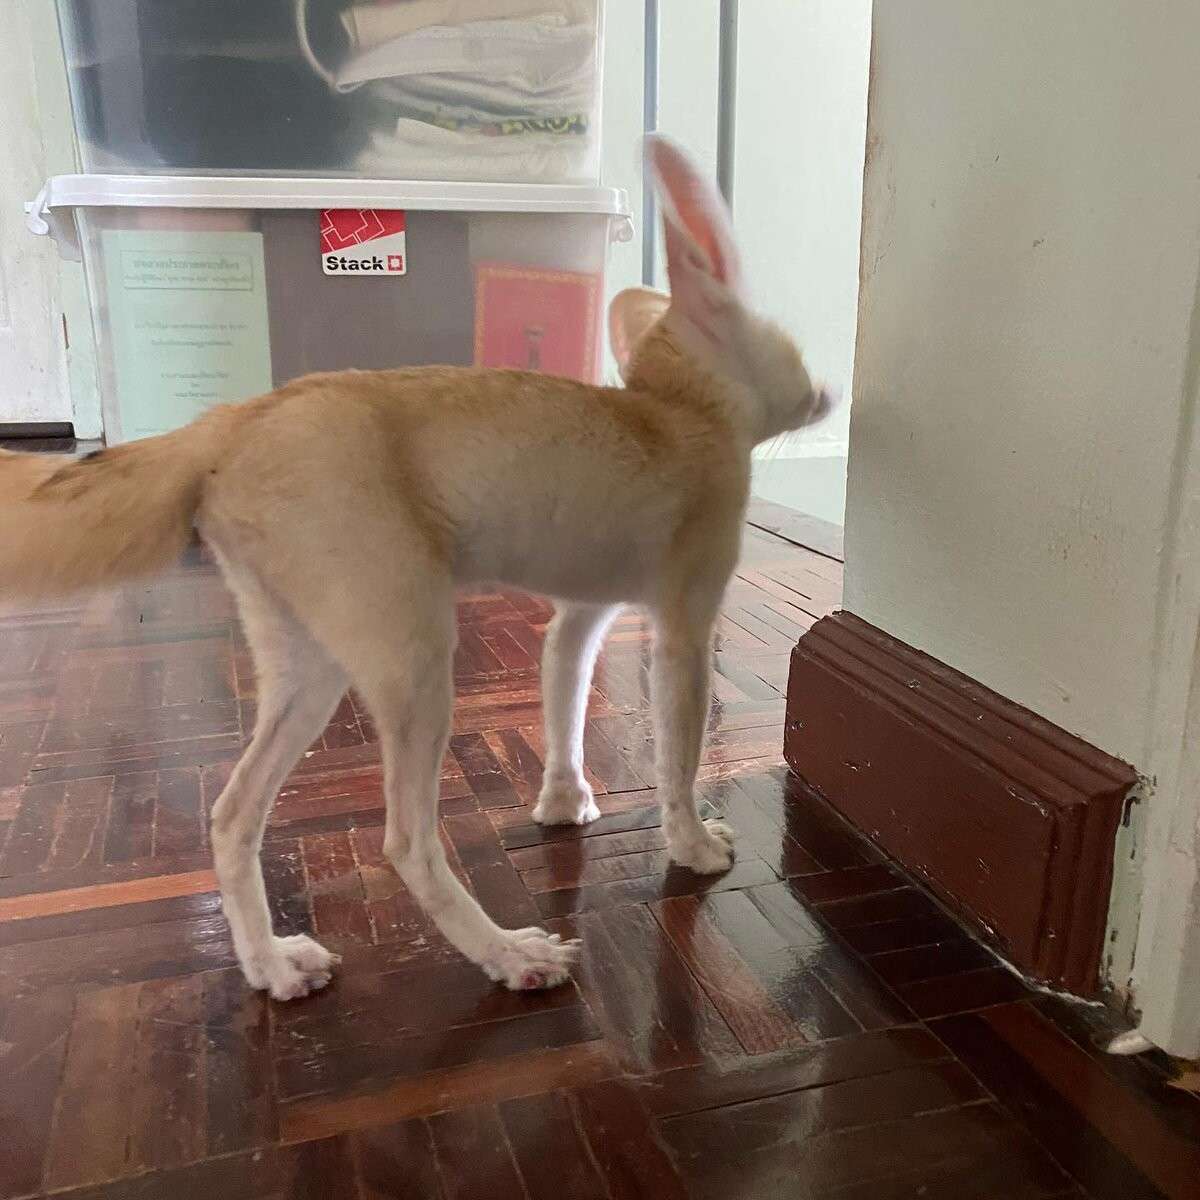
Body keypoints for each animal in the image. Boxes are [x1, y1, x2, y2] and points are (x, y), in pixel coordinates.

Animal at [0, 137, 833, 999]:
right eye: (795, 350)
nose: (827, 390)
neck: (677, 406)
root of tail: (234, 418)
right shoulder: (684, 631)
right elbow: (679, 755)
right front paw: (692, 845)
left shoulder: (576, 620)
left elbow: (565, 712)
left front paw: (564, 801)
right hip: (416, 661)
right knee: (404, 842)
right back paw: (507, 954)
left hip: (310, 669)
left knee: (230, 816)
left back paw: (270, 965)